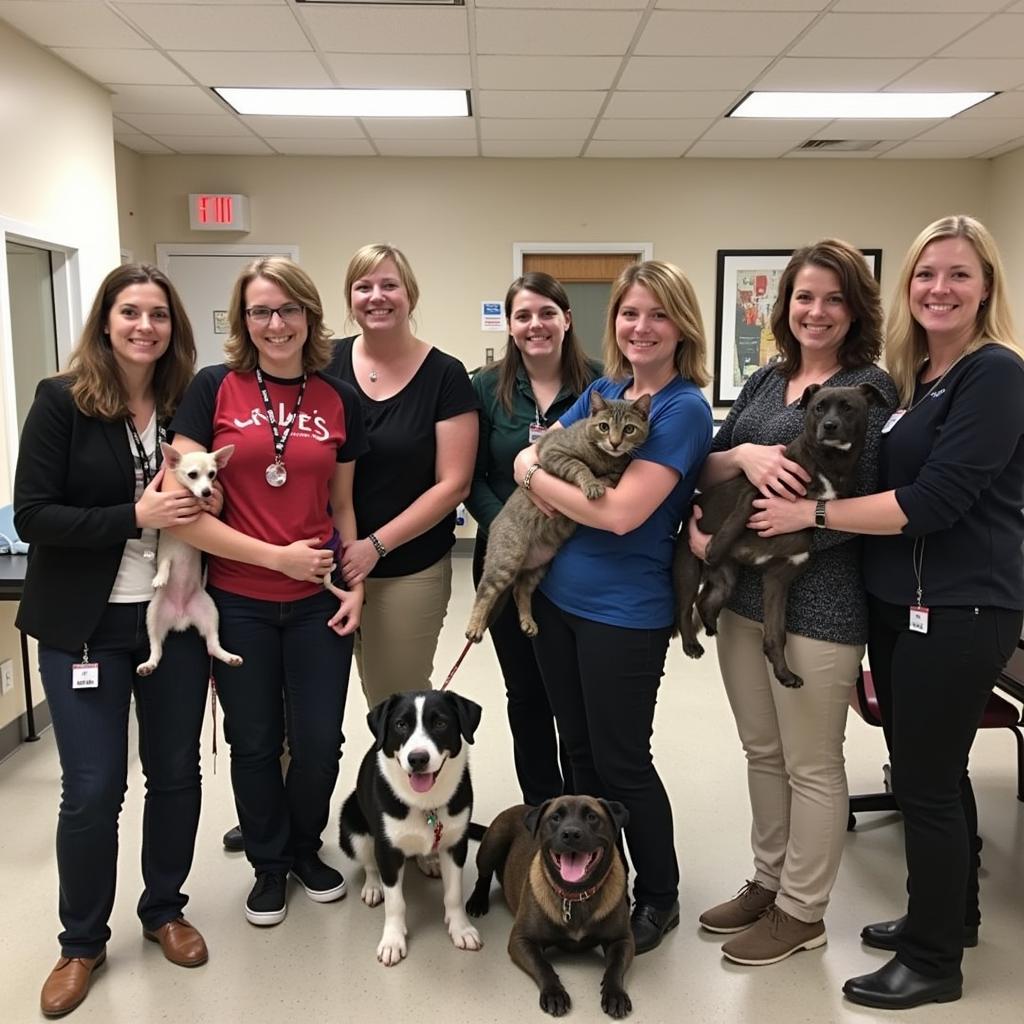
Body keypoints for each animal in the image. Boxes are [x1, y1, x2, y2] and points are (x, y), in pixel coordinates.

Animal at [339, 688, 483, 966]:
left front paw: (461, 929)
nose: (417, 759)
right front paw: (392, 941)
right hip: (353, 827)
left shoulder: (455, 845)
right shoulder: (387, 850)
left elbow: (454, 894)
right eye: (400, 725)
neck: (426, 804)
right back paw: (373, 887)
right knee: (369, 863)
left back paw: (428, 861)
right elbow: (395, 903)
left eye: (440, 723)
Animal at [468, 389, 651, 638]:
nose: (615, 443)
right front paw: (592, 483)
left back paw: (527, 621)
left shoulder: (618, 471)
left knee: (520, 590)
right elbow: (580, 466)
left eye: (629, 429)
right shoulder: (552, 450)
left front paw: (601, 480)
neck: (605, 457)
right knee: (485, 590)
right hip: (507, 558)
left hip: (539, 567)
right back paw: (475, 626)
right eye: (604, 426)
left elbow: (610, 476)